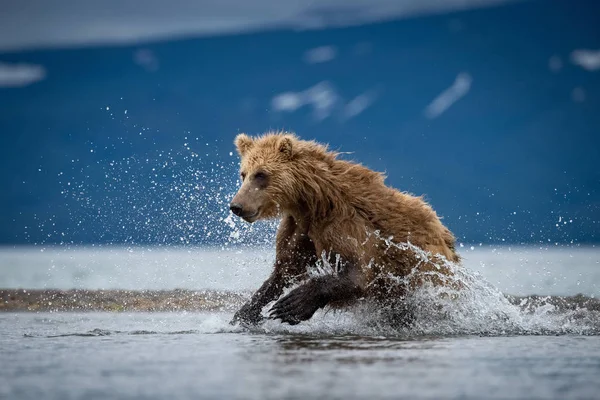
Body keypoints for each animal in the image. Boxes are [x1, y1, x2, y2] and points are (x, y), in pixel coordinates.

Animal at [230, 131, 460, 324]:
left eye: (261, 174)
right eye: (243, 173)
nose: (236, 206)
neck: (313, 203)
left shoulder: (344, 226)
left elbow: (357, 272)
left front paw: (292, 304)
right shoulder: (299, 229)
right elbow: (283, 270)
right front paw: (245, 312)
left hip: (429, 273)